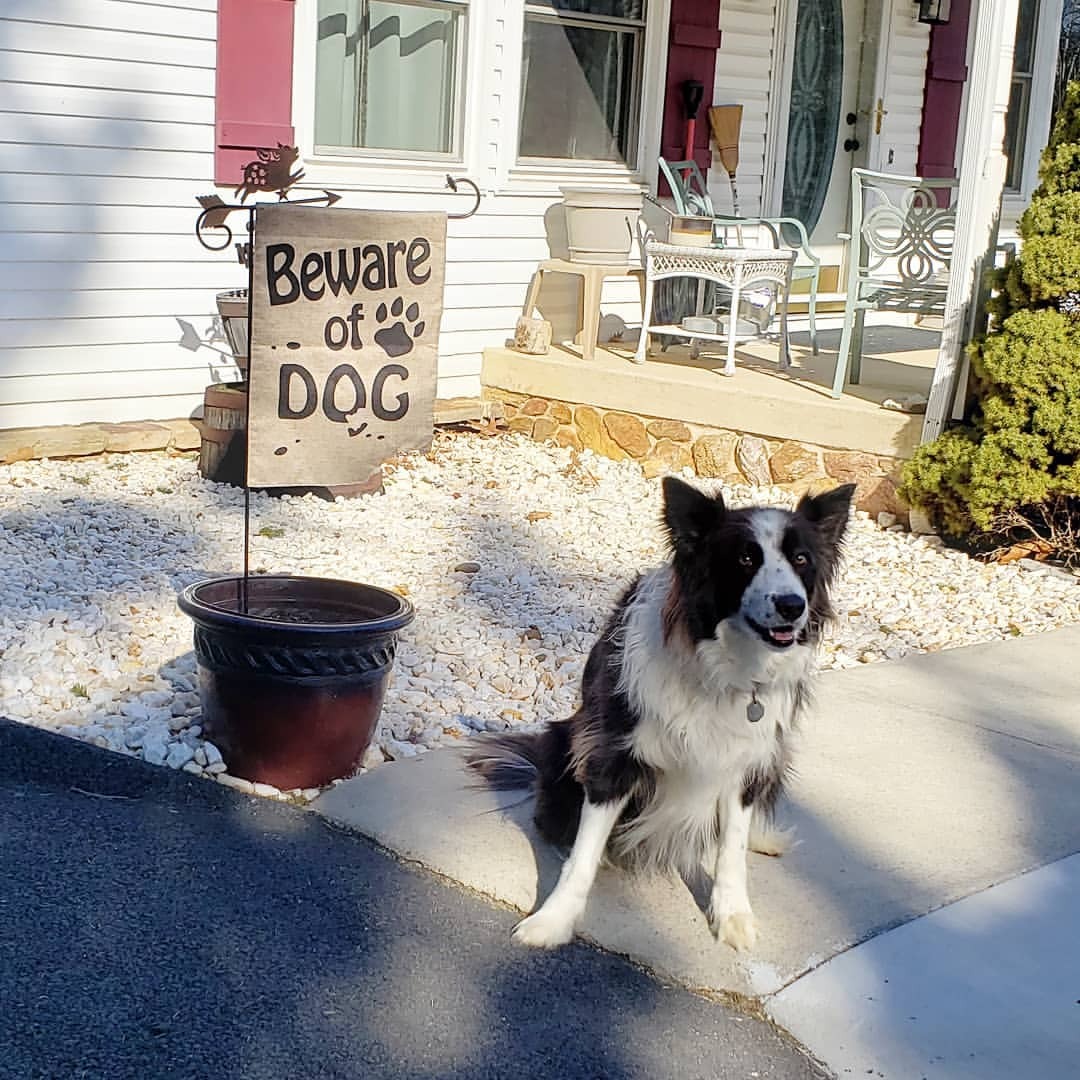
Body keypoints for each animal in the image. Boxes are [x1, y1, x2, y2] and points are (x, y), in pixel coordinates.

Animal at [468, 477, 855, 950]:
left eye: (801, 559)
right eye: (745, 558)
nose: (791, 605)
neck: (722, 667)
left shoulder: (747, 760)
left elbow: (731, 850)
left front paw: (733, 917)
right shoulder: (612, 754)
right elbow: (583, 854)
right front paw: (553, 920)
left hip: (776, 759)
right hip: (564, 742)